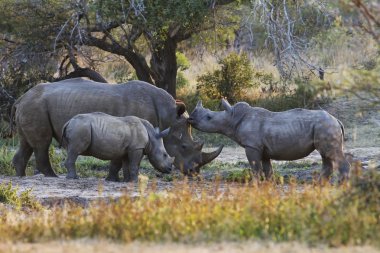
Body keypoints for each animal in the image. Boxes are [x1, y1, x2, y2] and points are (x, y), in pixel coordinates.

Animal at [189, 99, 352, 182]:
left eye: (209, 117)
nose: (190, 118)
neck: (232, 117)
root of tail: (337, 120)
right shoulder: (263, 149)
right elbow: (268, 170)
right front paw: (268, 186)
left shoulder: (252, 146)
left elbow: (255, 168)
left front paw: (254, 185)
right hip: (324, 127)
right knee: (326, 155)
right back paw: (318, 185)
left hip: (325, 126)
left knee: (331, 154)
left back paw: (341, 185)